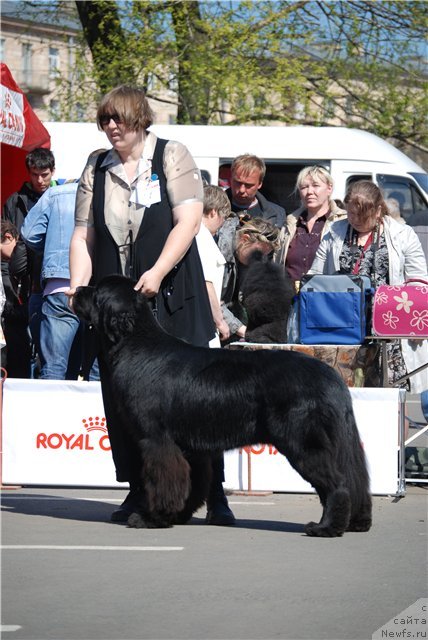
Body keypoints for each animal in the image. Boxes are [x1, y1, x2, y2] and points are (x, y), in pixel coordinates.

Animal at [73, 274, 372, 536]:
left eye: (96, 291)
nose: (76, 289)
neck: (134, 342)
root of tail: (331, 376)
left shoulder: (156, 439)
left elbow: (163, 479)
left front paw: (152, 518)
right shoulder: (189, 447)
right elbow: (191, 483)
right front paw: (177, 515)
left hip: (303, 440)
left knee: (338, 484)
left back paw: (325, 528)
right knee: (354, 480)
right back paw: (356, 522)